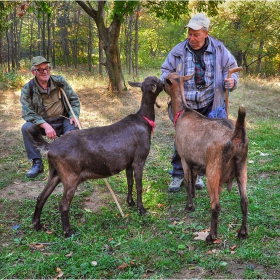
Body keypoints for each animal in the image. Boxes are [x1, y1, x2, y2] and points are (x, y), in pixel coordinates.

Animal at [27, 76, 163, 236]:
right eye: (158, 82)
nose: (165, 81)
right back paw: (68, 232)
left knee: (41, 197)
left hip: (55, 173)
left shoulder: (129, 162)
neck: (144, 122)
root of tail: (50, 148)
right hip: (70, 177)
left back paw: (37, 225)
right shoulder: (139, 159)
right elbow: (139, 186)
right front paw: (142, 210)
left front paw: (130, 202)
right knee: (63, 204)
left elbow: (129, 182)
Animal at [164, 72, 249, 243]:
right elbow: (194, 178)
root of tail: (237, 136)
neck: (183, 112)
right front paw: (194, 196)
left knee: (216, 205)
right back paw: (242, 233)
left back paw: (211, 236)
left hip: (213, 170)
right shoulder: (195, 161)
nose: (160, 84)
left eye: (165, 81)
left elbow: (188, 181)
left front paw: (189, 206)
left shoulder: (184, 158)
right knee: (244, 201)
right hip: (242, 167)